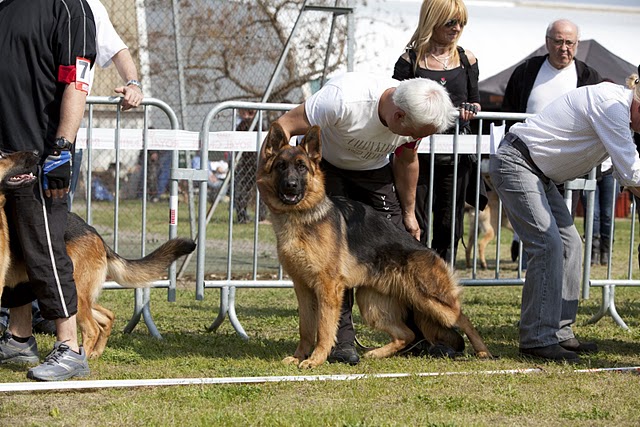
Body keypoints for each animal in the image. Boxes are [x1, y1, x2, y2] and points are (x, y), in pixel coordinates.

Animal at [0, 150, 195, 358]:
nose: (35, 154)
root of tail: (94, 232)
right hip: (81, 296)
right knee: (107, 316)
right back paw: (95, 353)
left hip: (72, 290)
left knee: (91, 328)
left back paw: (80, 356)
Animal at [255, 123, 490, 368]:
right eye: (281, 166)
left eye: (302, 167)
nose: (290, 185)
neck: (301, 217)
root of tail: (431, 253)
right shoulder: (303, 288)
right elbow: (306, 329)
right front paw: (300, 356)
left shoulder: (328, 288)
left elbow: (324, 329)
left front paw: (316, 359)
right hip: (371, 303)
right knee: (407, 334)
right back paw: (377, 353)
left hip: (432, 301)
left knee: (463, 319)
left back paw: (483, 352)